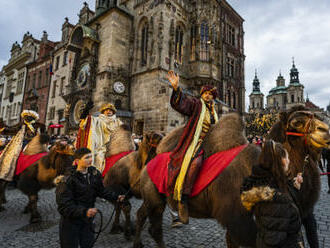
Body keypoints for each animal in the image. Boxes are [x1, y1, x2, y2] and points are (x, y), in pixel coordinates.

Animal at [133, 108, 328, 248]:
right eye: (296, 122)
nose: (325, 130)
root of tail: (148, 164)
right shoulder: (236, 219)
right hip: (155, 199)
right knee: (153, 226)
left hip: (154, 198)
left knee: (145, 218)